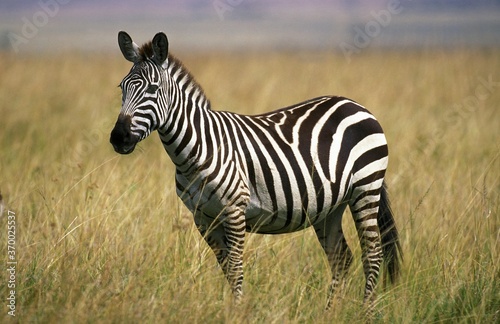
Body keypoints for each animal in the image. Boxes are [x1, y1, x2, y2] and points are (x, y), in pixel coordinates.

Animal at [109, 31, 402, 310]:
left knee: (372, 254)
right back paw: (330, 313)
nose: (118, 137)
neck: (197, 149)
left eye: (153, 89)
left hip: (366, 189)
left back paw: (366, 312)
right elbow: (227, 270)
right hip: (331, 206)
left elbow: (236, 269)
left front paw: (238, 312)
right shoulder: (203, 218)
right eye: (121, 87)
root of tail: (354, 104)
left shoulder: (234, 210)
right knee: (341, 258)